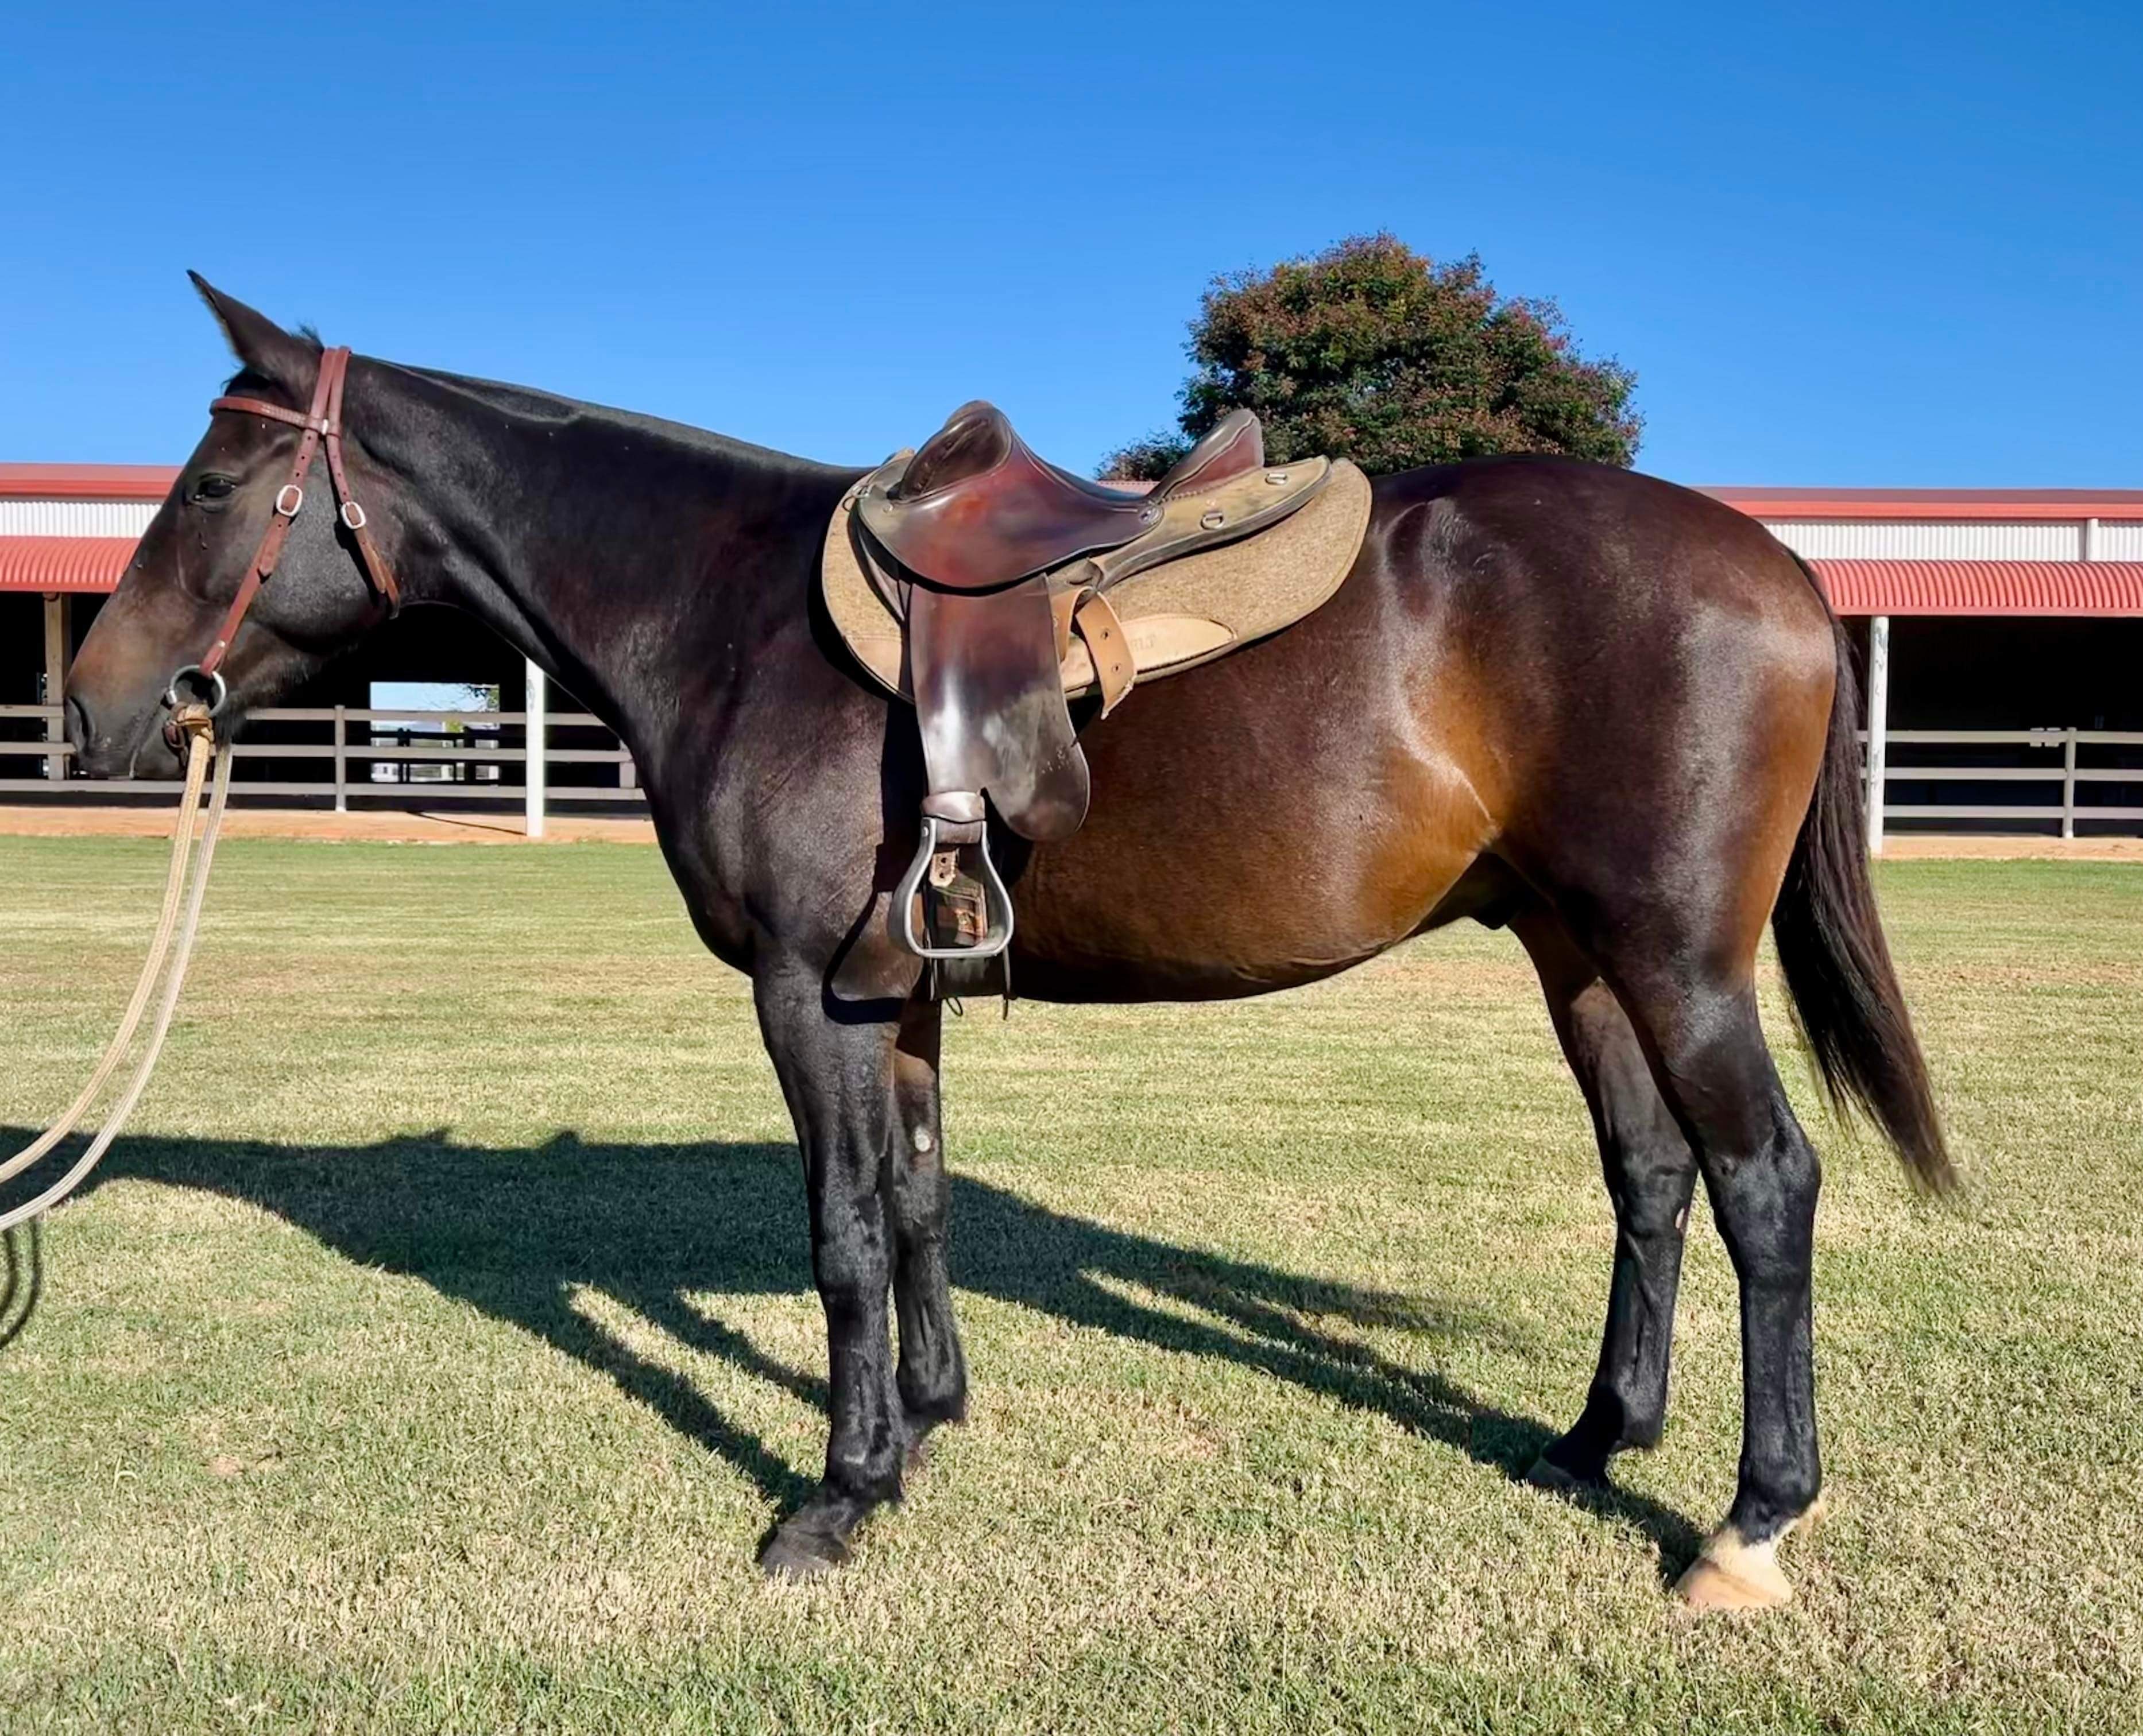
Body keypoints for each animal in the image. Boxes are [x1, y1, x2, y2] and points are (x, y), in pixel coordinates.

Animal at [63, 278, 1949, 1610]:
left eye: (217, 481)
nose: (91, 707)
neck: (720, 610)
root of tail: (1781, 569)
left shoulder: (800, 997)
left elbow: (838, 1234)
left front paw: (834, 1499)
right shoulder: (890, 993)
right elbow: (912, 1204)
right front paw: (927, 1424)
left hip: (1675, 961)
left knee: (1764, 1184)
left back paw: (1745, 1526)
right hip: (1578, 955)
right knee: (1651, 1176)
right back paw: (1591, 1442)